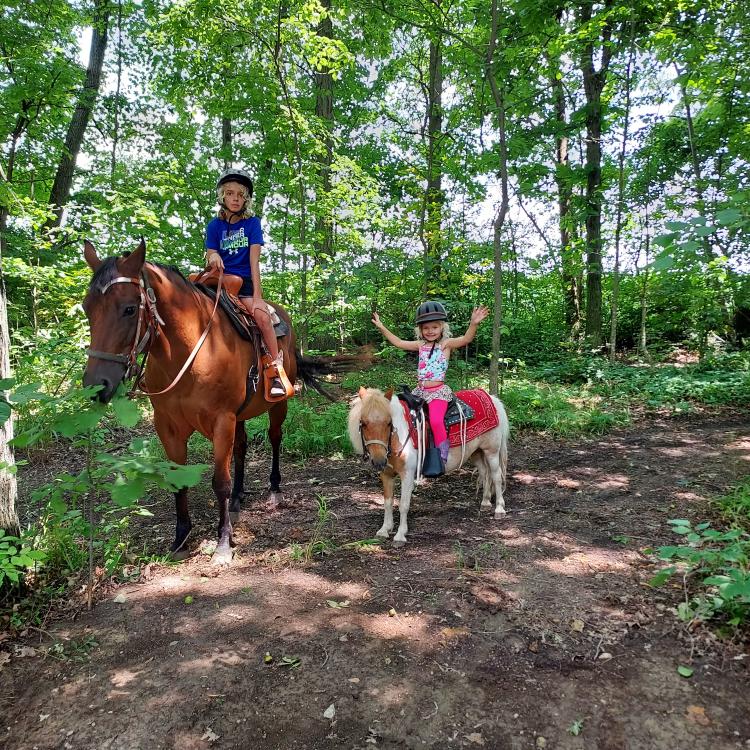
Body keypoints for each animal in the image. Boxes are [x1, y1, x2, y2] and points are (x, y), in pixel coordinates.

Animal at [82, 239, 356, 564]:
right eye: (87, 308)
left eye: (129, 309)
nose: (95, 386)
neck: (187, 354)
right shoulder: (168, 426)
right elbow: (179, 480)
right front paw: (181, 538)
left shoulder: (221, 420)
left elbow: (219, 481)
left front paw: (224, 542)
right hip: (240, 415)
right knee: (241, 448)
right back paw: (238, 500)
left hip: (277, 405)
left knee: (275, 438)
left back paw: (274, 489)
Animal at [350, 388, 508, 548]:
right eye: (363, 423)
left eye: (389, 423)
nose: (378, 461)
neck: (398, 437)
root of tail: (491, 398)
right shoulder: (386, 474)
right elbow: (388, 502)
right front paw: (384, 530)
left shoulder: (407, 474)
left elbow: (403, 504)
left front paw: (400, 535)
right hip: (476, 452)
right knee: (484, 472)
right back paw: (485, 502)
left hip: (491, 451)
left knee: (496, 476)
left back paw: (499, 509)